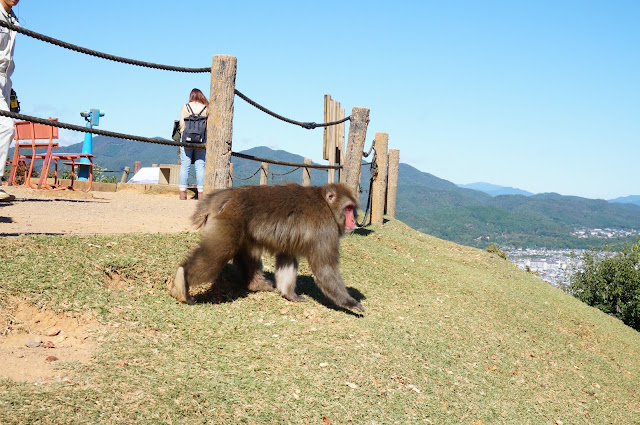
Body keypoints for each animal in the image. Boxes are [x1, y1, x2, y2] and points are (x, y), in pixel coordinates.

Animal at [166, 182, 364, 312]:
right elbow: (325, 269)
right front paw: (350, 303)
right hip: (229, 220)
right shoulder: (325, 229)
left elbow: (287, 258)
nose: (353, 221)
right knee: (218, 253)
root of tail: (223, 196)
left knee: (248, 250)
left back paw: (255, 284)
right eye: (348, 208)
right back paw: (182, 280)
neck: (327, 205)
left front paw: (288, 294)